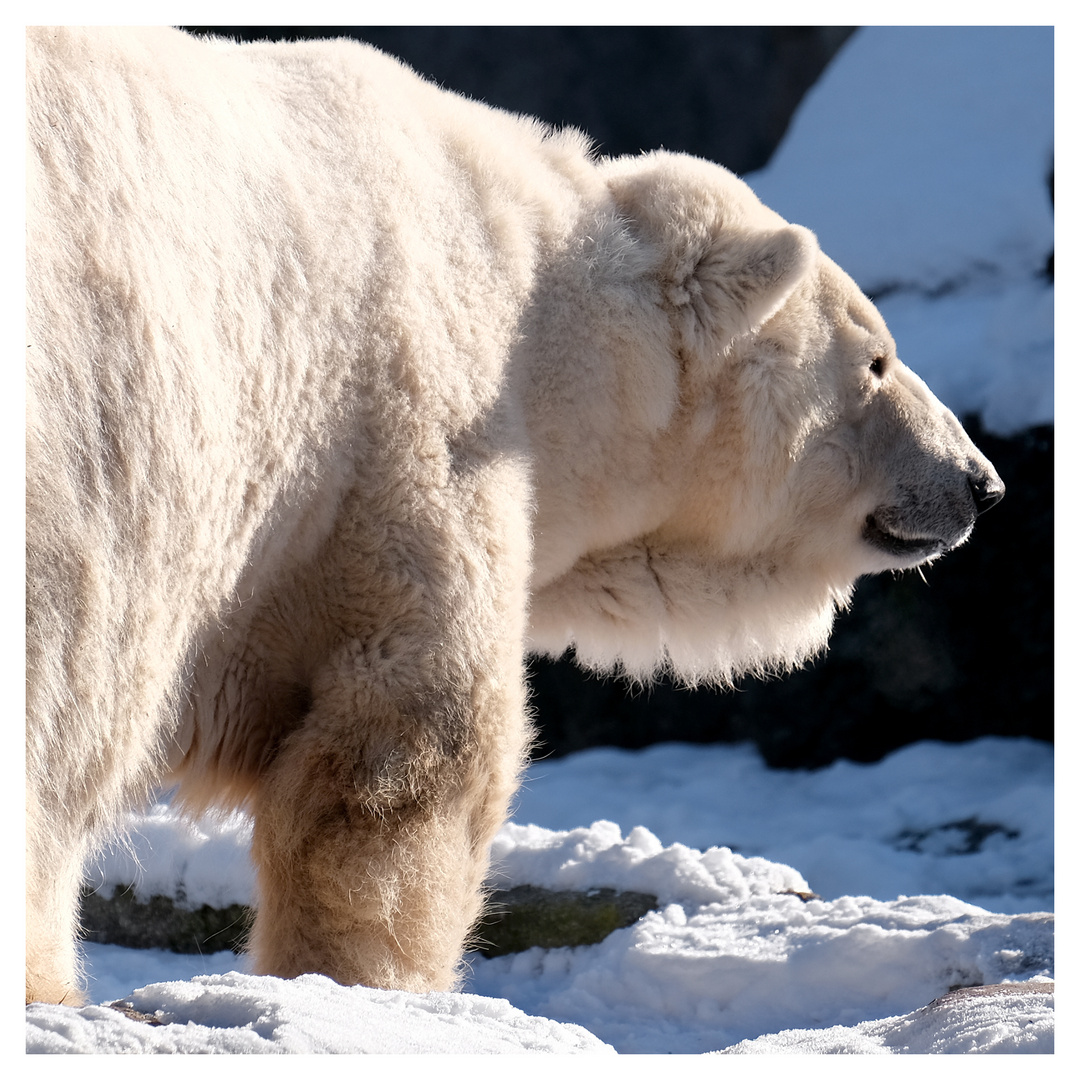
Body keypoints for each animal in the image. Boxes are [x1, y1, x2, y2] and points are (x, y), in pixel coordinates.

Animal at [27, 25, 1002, 1002]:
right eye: (876, 359)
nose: (979, 483)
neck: (541, 320)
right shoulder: (409, 444)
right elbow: (409, 752)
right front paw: (371, 989)